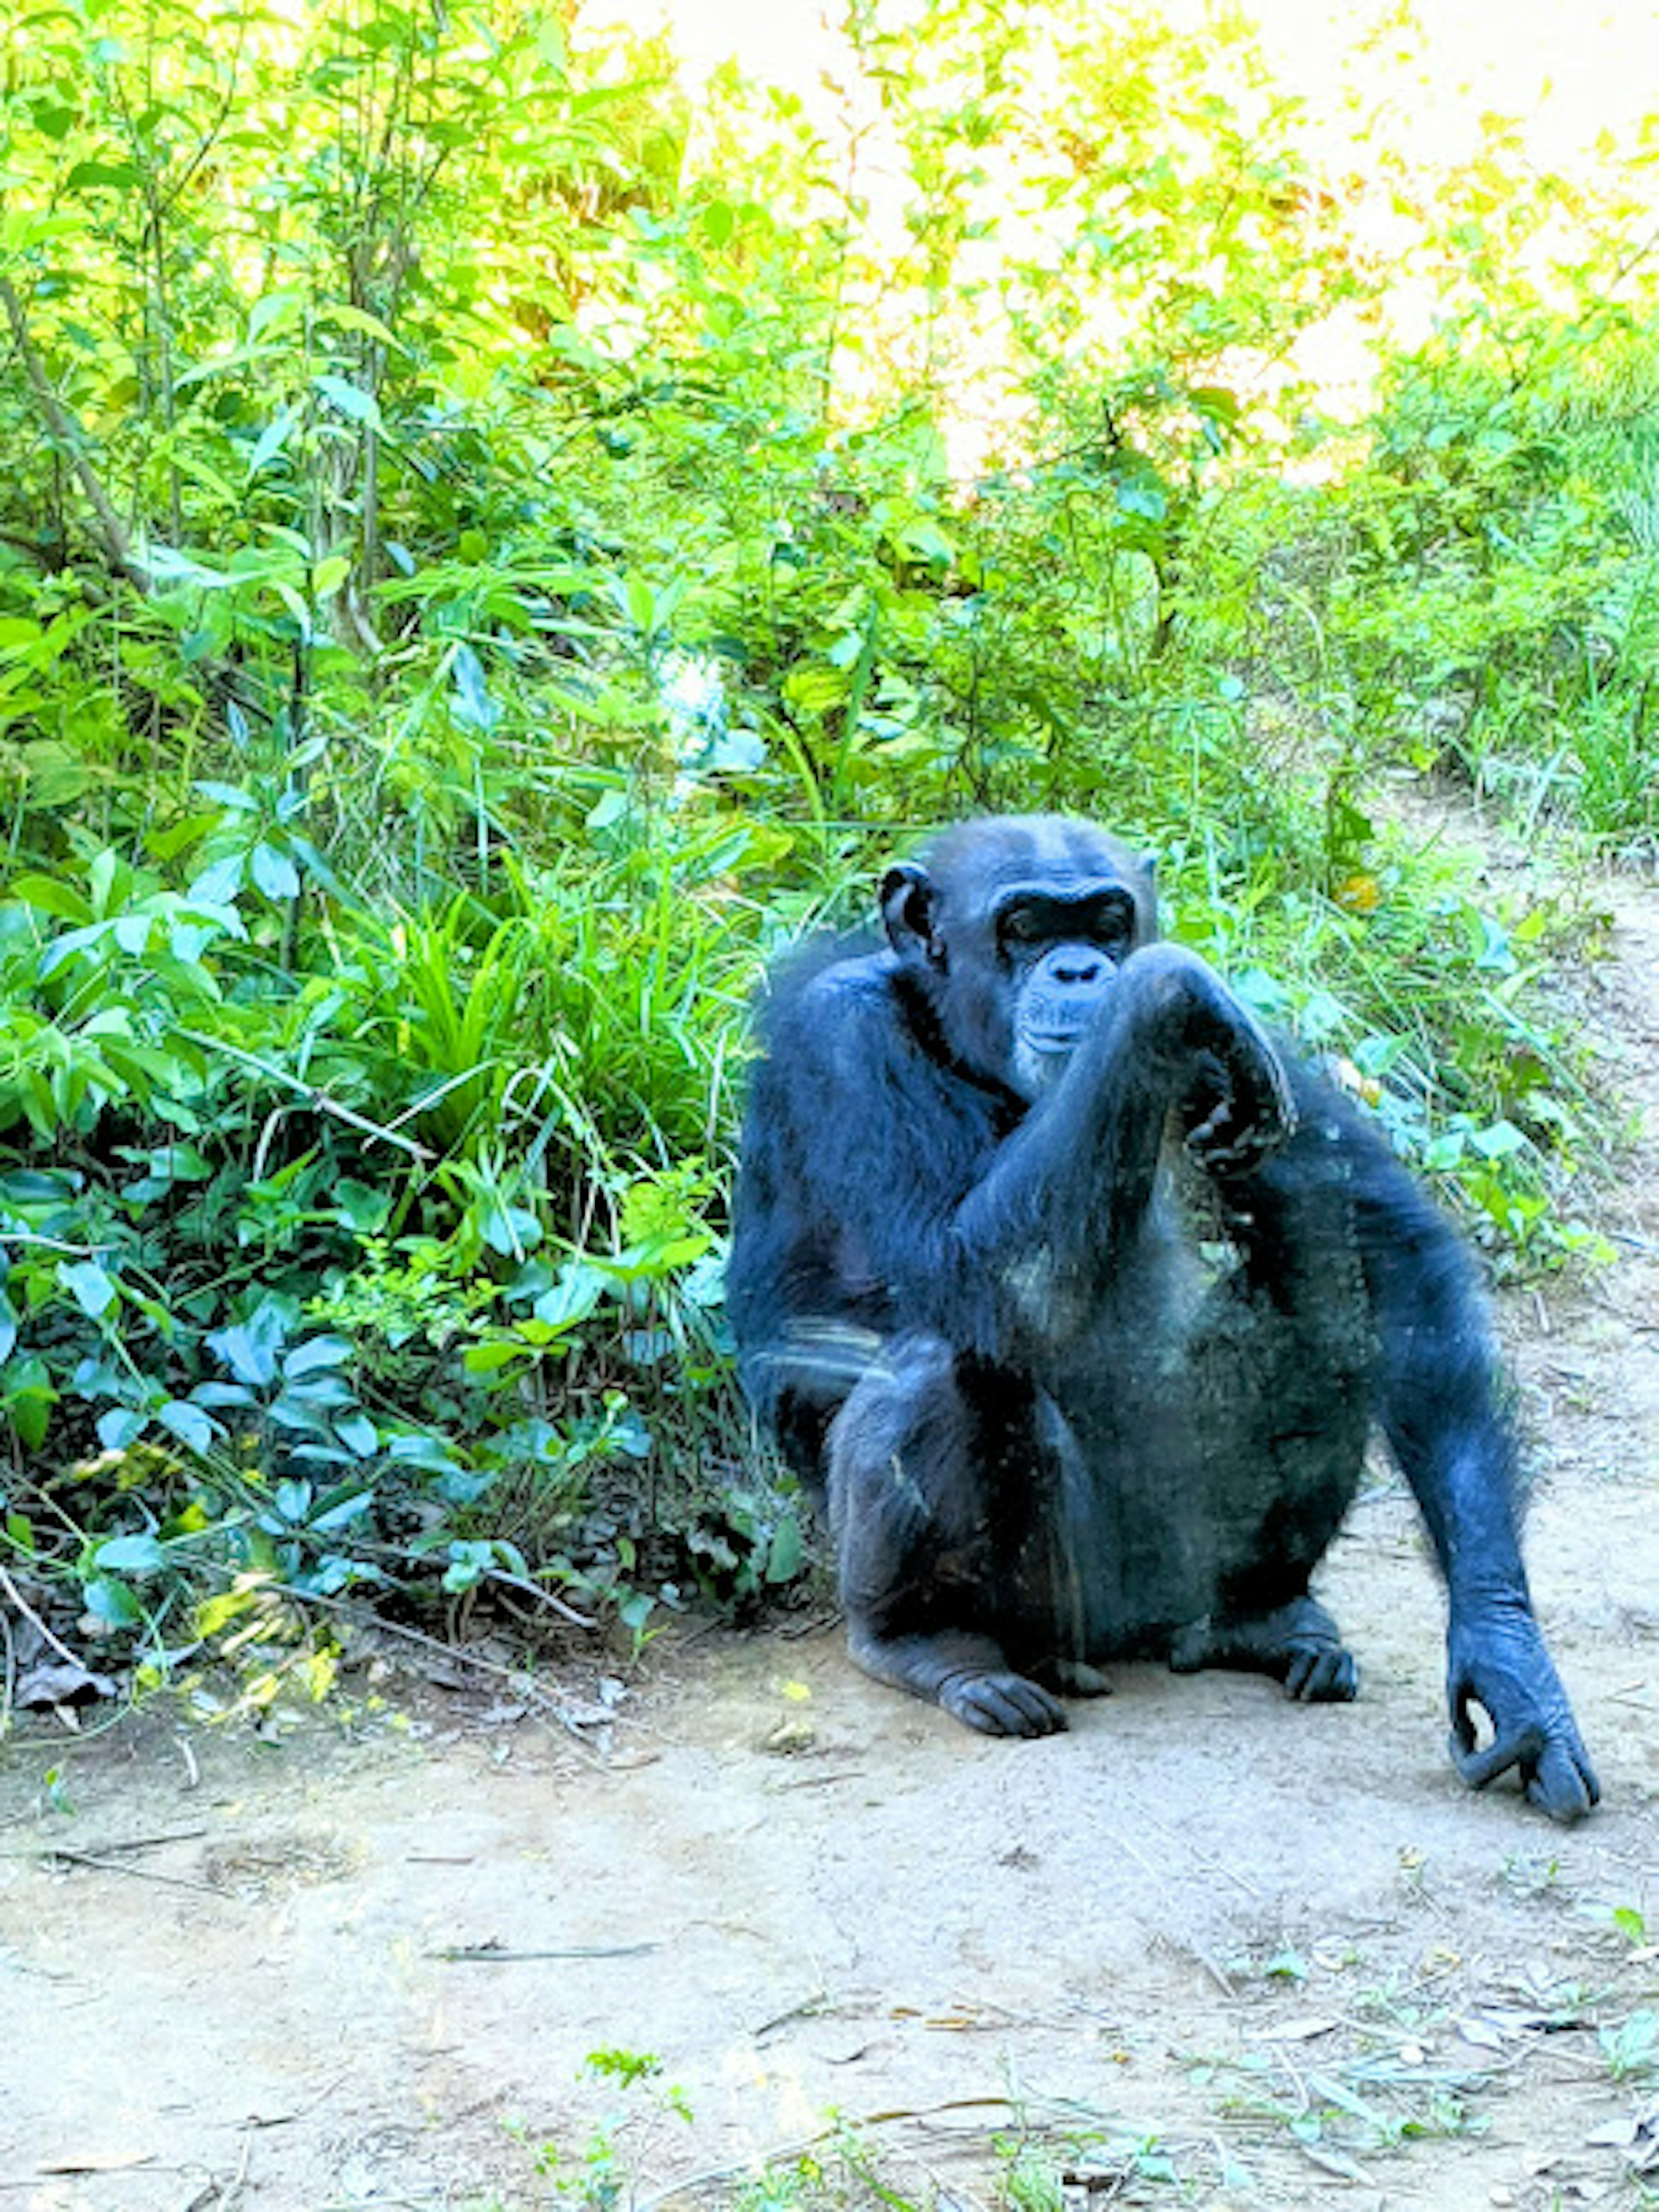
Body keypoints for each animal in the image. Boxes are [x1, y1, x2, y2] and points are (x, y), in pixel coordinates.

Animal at [734, 814, 1601, 1814]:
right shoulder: (841, 1039)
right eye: (1024, 926)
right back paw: (928, 1644)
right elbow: (967, 1270)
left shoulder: (1270, 1042)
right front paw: (1161, 992)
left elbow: (1398, 1262)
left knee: (1327, 1276)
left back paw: (1262, 1619)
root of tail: (1140, 1636)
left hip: (1192, 1564)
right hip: (1063, 1604)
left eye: (1107, 921)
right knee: (934, 1366)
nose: (1083, 969)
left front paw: (1511, 1665)